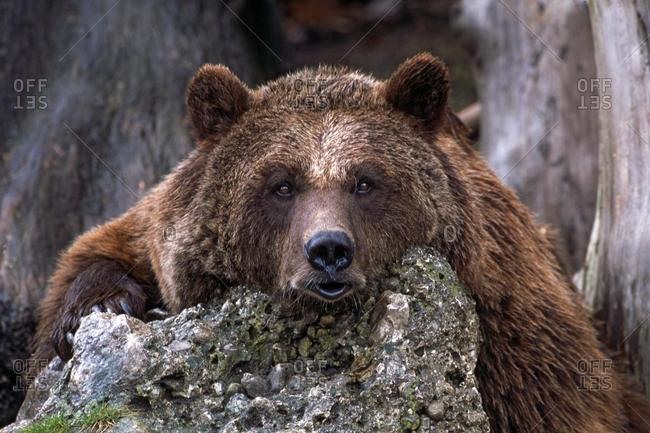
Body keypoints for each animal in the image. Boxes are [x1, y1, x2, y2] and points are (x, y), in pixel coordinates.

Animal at [31, 53, 650, 432]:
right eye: (281, 184)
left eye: (366, 181)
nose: (328, 250)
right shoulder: (157, 229)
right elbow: (97, 253)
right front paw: (99, 307)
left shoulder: (516, 336)